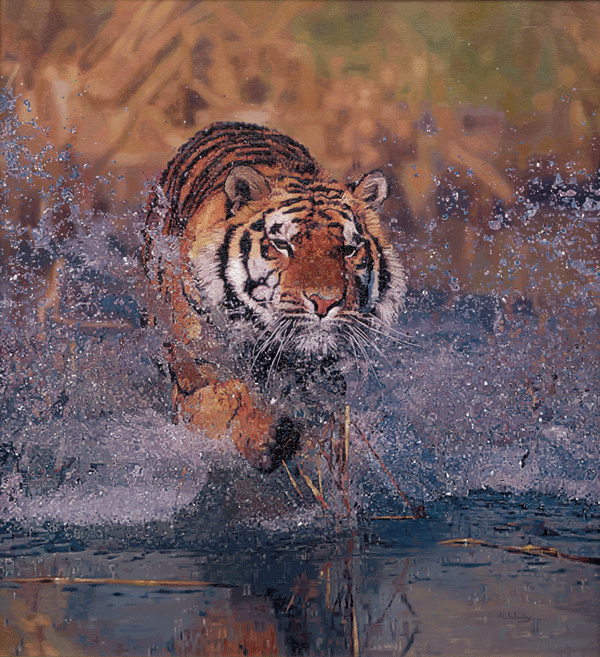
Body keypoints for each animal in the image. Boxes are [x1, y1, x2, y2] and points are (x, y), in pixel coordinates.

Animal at [142, 122, 406, 472]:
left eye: (349, 250)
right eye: (282, 245)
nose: (325, 302)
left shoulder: (324, 379)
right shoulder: (198, 368)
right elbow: (229, 396)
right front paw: (265, 435)